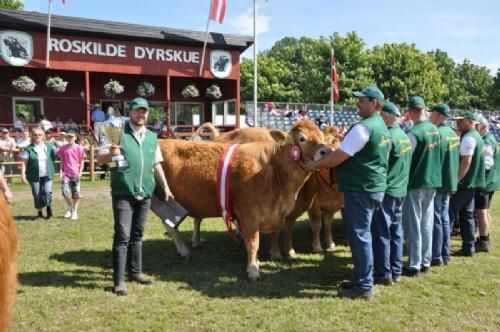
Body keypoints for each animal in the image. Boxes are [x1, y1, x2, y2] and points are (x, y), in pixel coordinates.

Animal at [158, 120, 326, 278]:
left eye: (322, 136)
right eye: (302, 138)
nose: (325, 151)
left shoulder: (277, 213)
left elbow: (273, 234)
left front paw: (267, 258)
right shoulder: (249, 214)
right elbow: (253, 243)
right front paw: (253, 270)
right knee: (170, 226)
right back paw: (184, 250)